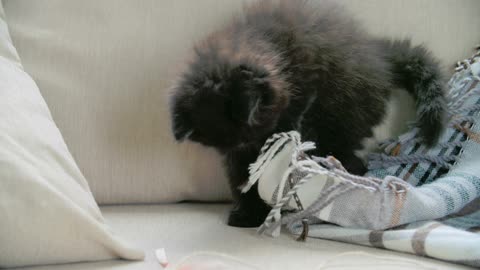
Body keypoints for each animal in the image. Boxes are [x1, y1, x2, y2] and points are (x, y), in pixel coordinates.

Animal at [170, 0, 446, 228]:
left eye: (258, 131)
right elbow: (242, 179)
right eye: (235, 142)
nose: (254, 147)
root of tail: (381, 58)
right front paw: (248, 212)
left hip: (344, 118)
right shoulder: (233, 155)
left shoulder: (306, 87)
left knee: (352, 157)